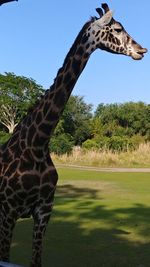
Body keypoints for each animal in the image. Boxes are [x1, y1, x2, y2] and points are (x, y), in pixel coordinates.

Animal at [0, 2, 147, 267]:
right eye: (118, 29)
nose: (142, 50)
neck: (38, 142)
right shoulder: (9, 211)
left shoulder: (44, 211)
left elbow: (36, 260)